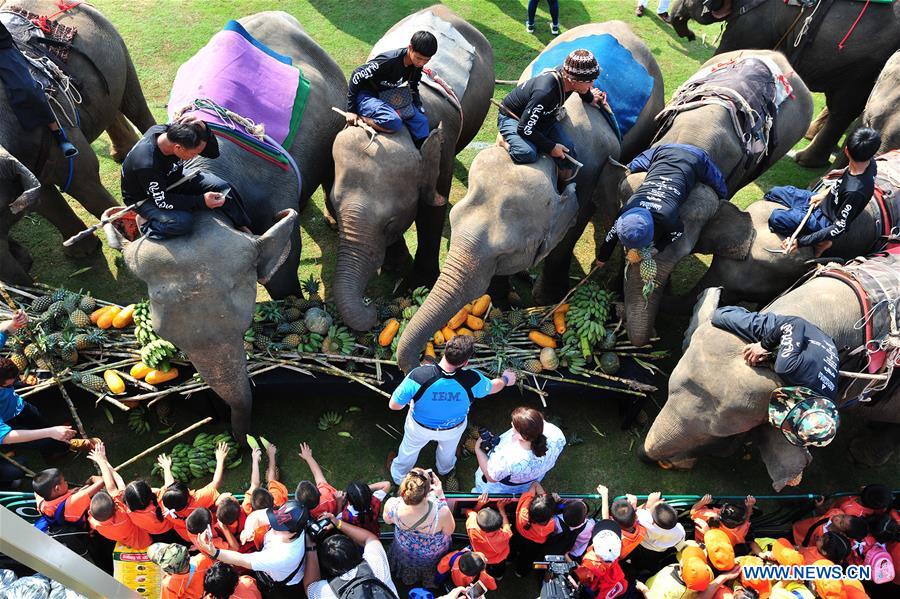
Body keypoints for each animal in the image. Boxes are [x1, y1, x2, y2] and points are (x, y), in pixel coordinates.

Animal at [0, 0, 155, 283]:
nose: (28, 266)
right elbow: (44, 197)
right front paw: (83, 252)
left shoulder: (52, 120)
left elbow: (82, 179)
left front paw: (130, 236)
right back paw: (124, 153)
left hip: (116, 46)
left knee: (134, 104)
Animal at [114, 11, 346, 439]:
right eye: (168, 338)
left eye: (244, 324)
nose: (234, 431)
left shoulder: (273, 187)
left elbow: (282, 267)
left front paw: (291, 308)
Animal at [331, 4, 494, 332]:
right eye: (334, 207)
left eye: (390, 223)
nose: (369, 304)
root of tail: (444, 9)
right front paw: (396, 268)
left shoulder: (442, 148)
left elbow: (433, 209)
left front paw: (415, 285)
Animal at [396, 21, 664, 373]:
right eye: (452, 222)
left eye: (505, 251)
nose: (425, 359)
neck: (545, 157)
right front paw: (501, 301)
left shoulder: (589, 174)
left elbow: (571, 229)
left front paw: (543, 299)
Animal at [668, 0, 900, 167]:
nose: (689, 34)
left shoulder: (754, 22)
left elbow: (730, 50)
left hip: (863, 65)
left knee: (843, 110)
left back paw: (805, 160)